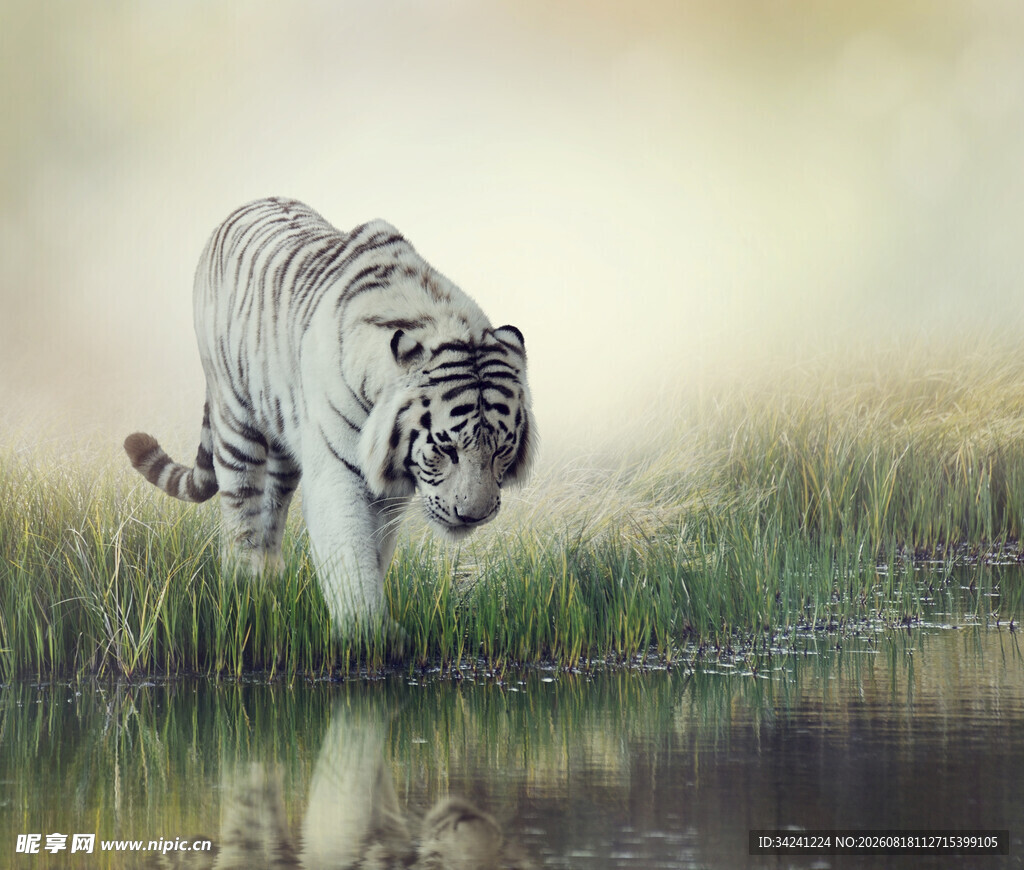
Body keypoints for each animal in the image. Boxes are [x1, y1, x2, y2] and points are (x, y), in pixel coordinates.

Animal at [124, 197, 536, 631]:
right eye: (446, 449)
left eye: (501, 450)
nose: (472, 516)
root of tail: (246, 206)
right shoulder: (337, 473)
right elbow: (350, 553)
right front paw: (367, 631)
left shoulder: (388, 490)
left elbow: (375, 551)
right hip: (235, 421)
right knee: (241, 510)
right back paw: (244, 586)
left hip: (285, 443)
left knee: (272, 509)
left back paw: (271, 581)